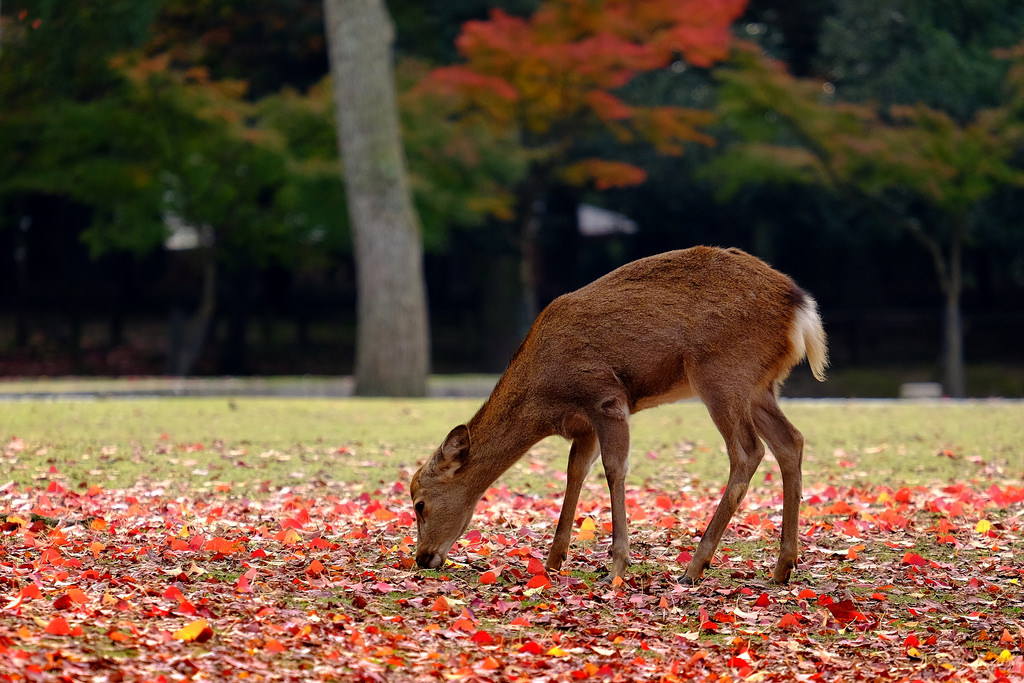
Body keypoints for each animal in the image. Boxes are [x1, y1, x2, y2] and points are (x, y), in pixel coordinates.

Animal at [411, 246, 828, 585]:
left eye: (419, 503)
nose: (422, 558)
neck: (545, 400)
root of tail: (802, 310)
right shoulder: (583, 426)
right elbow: (575, 473)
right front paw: (553, 562)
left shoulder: (605, 398)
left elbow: (614, 469)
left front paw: (617, 565)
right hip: (760, 386)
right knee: (791, 441)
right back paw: (782, 567)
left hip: (722, 373)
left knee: (747, 451)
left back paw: (694, 568)